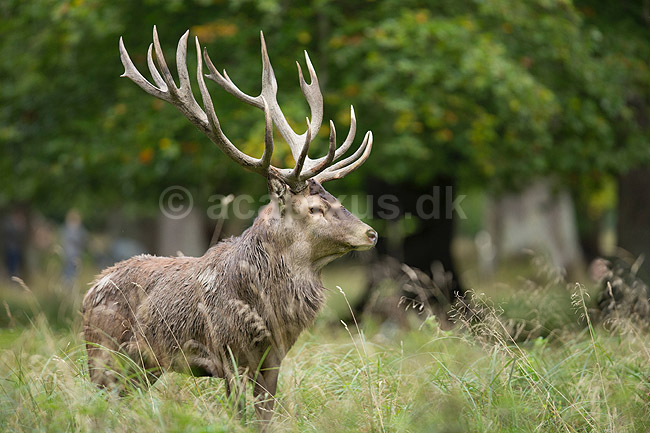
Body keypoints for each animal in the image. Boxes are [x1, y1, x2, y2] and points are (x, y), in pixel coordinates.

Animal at [82, 26, 376, 423]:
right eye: (315, 208)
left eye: (336, 199)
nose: (370, 233)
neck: (267, 307)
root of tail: (88, 292)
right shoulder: (228, 354)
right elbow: (240, 415)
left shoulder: (273, 358)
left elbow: (265, 417)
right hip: (102, 354)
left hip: (144, 367)